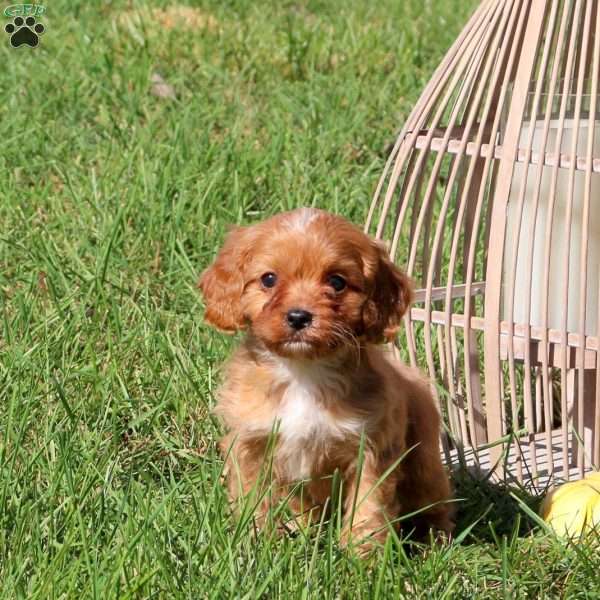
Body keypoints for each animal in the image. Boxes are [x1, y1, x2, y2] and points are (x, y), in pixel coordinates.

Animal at [199, 209, 452, 552]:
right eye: (268, 279)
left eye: (337, 282)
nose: (298, 317)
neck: (303, 371)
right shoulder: (250, 443)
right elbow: (254, 498)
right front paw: (258, 543)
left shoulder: (371, 448)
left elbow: (368, 507)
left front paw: (363, 556)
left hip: (425, 463)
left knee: (436, 502)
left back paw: (436, 541)